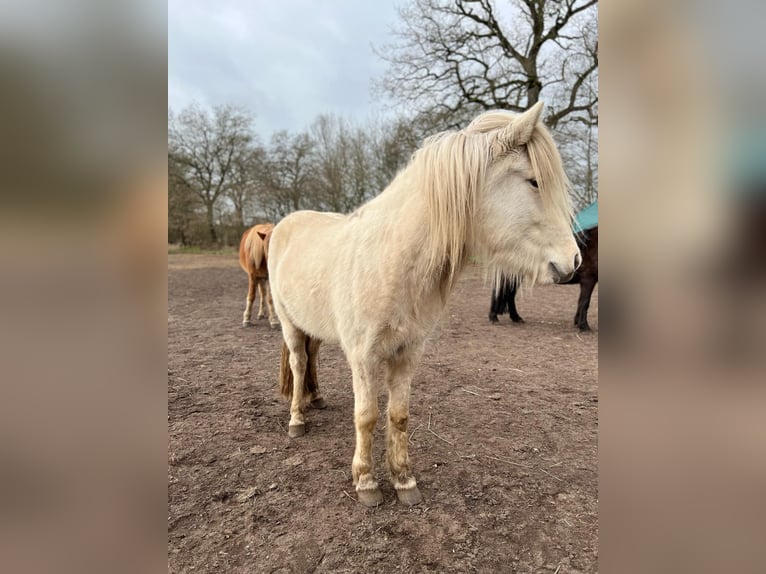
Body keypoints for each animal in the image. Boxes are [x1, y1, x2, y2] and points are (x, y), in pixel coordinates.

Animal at [267, 102, 580, 506]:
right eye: (532, 181)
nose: (573, 262)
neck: (391, 260)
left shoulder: (408, 352)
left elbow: (398, 415)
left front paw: (404, 480)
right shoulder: (364, 357)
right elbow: (366, 416)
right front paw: (366, 482)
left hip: (313, 326)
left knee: (312, 358)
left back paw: (315, 400)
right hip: (289, 324)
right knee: (299, 362)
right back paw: (297, 420)